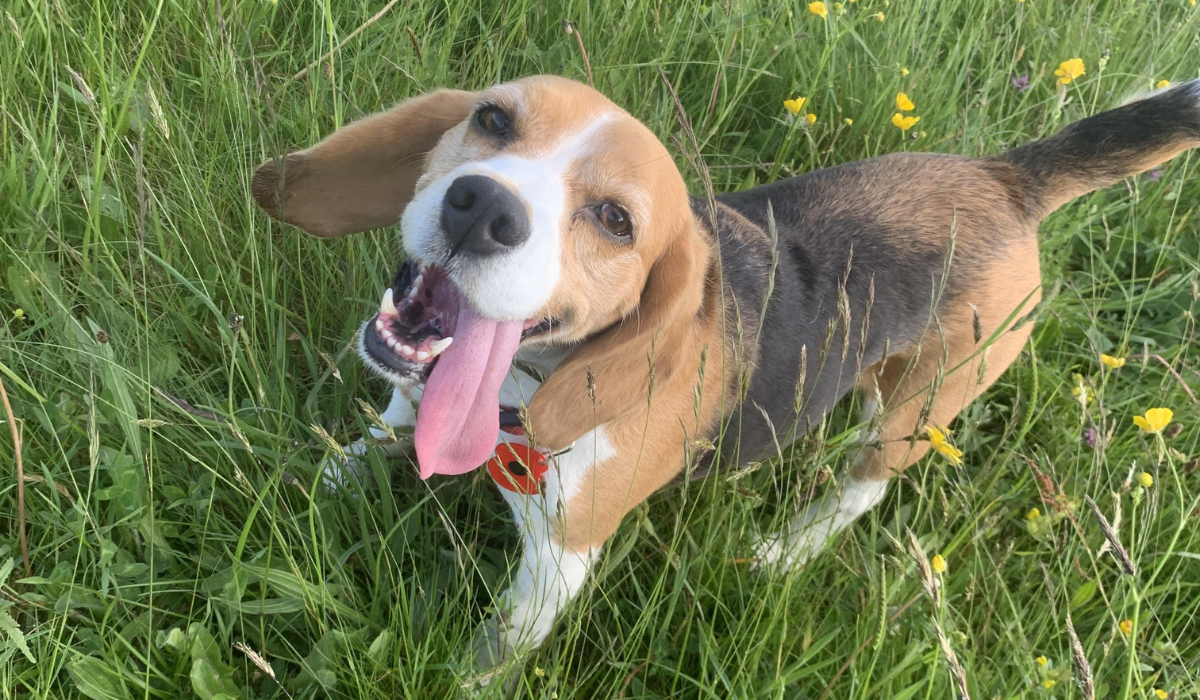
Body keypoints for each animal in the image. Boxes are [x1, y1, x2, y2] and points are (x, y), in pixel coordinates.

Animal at [253, 76, 1200, 667]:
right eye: (492, 120)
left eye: (615, 220)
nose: (483, 206)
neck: (525, 389)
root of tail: (1009, 177)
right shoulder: (408, 396)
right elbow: (374, 436)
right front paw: (318, 480)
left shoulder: (559, 566)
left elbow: (493, 653)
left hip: (923, 402)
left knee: (868, 485)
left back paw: (787, 549)